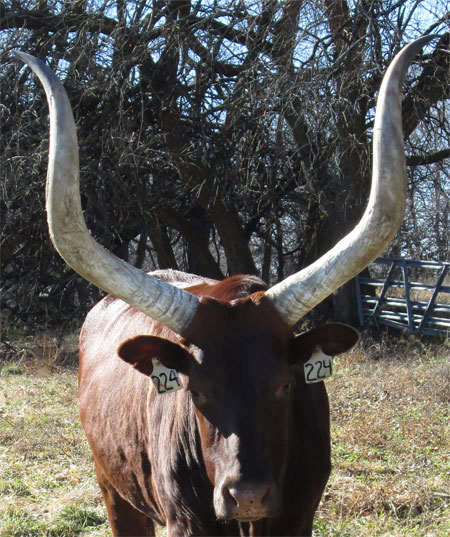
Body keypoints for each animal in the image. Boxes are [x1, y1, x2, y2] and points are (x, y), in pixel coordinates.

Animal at [15, 37, 434, 536]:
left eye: (284, 385)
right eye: (196, 391)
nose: (246, 496)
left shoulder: (299, 518)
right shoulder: (184, 521)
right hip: (114, 489)